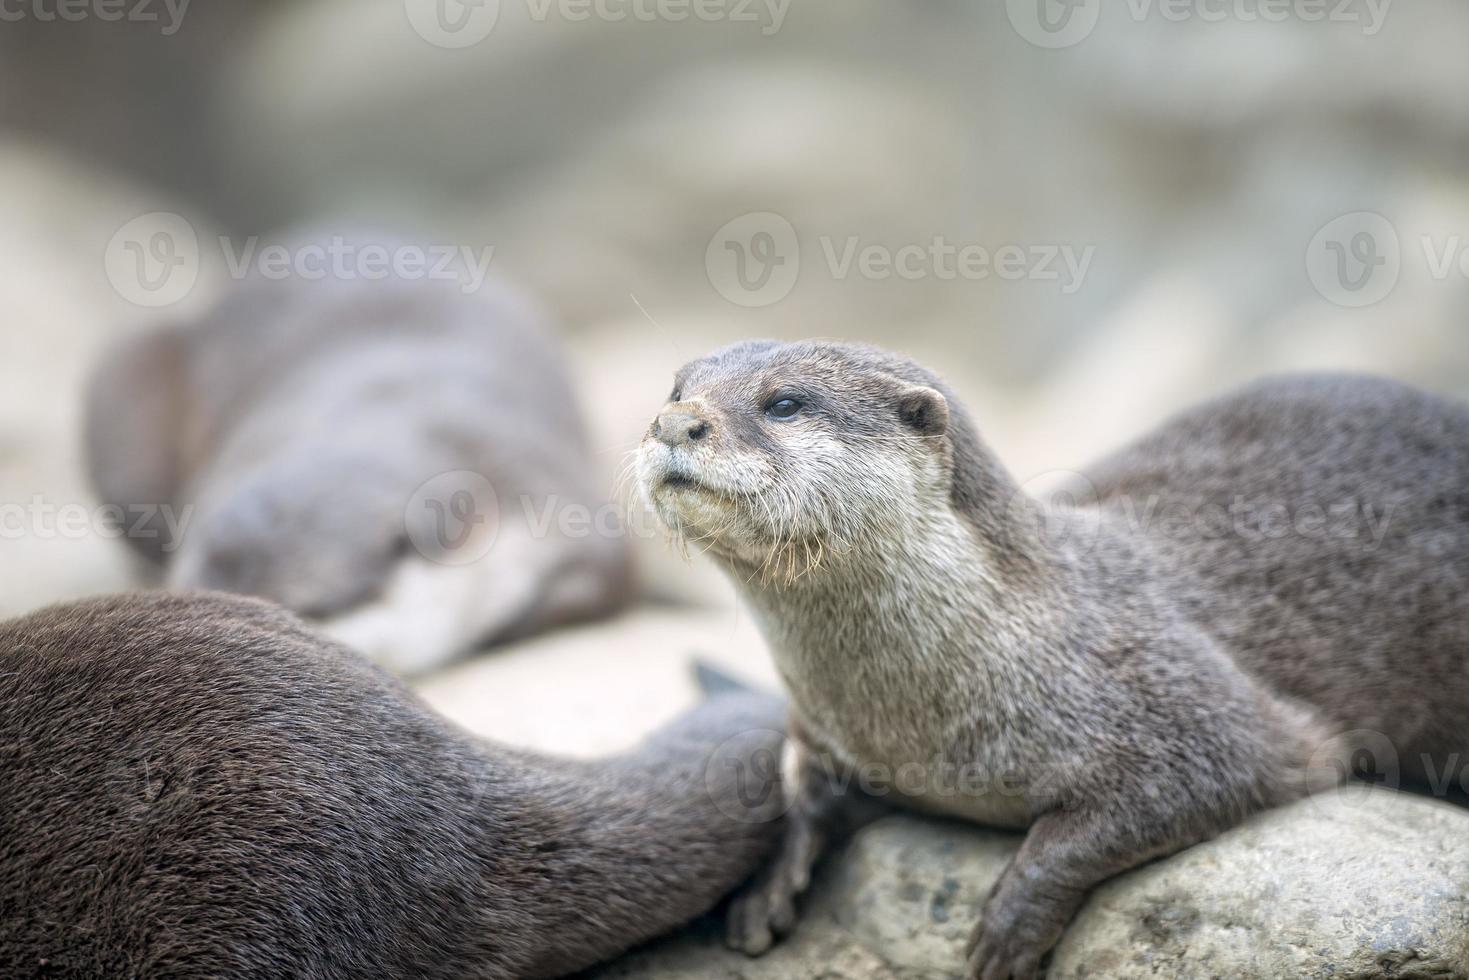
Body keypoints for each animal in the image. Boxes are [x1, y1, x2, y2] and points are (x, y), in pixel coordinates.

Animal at [637, 339, 1469, 980]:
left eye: (784, 403)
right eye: (676, 388)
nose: (673, 421)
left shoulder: (1185, 701)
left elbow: (1189, 780)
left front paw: (1010, 922)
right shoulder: (828, 731)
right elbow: (801, 793)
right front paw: (767, 887)